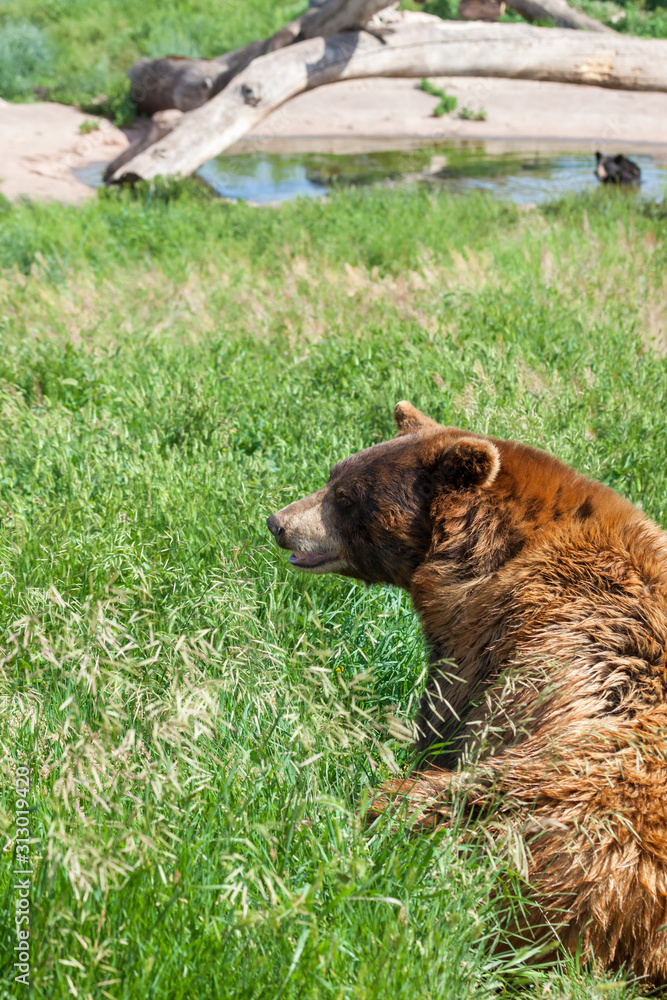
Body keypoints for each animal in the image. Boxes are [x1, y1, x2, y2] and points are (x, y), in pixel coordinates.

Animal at [267, 401, 667, 983]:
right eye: (333, 476)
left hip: (549, 797)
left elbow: (445, 721)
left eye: (345, 497)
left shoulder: (494, 640)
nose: (279, 523)